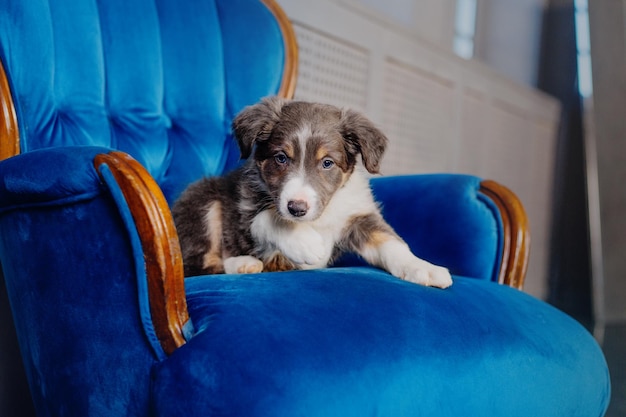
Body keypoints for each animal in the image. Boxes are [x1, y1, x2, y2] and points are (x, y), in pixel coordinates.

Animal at [173, 97, 450, 288]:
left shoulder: (359, 218)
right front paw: (306, 243)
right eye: (281, 158)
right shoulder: (245, 209)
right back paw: (243, 263)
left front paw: (423, 268)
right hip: (202, 201)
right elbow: (268, 217)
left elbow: (392, 243)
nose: (297, 208)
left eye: (327, 163)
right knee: (196, 265)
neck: (322, 215)